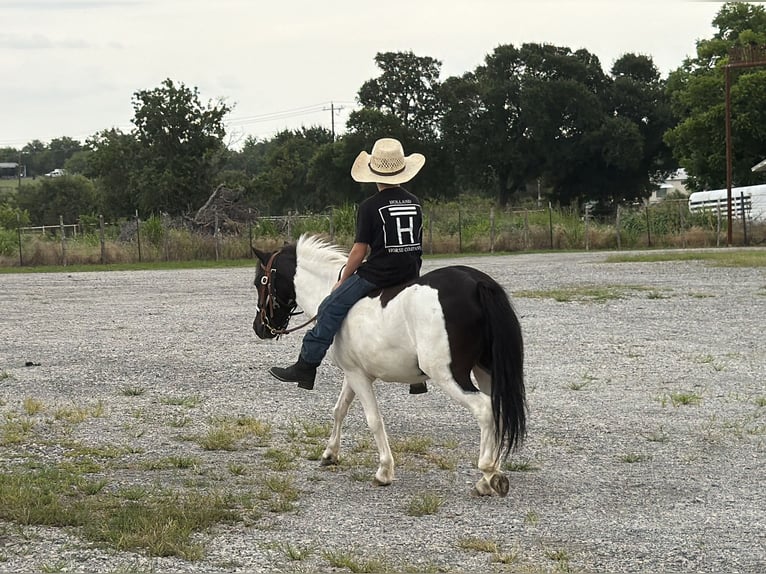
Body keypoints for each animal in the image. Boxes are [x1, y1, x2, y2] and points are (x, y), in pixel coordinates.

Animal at [251, 234, 526, 496]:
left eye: (259, 283)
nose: (259, 328)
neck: (327, 289)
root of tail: (476, 282)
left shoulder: (358, 376)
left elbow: (373, 419)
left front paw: (384, 470)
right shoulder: (353, 373)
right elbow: (339, 409)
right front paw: (330, 453)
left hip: (449, 375)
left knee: (484, 409)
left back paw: (488, 472)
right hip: (485, 370)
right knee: (497, 410)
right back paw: (490, 475)